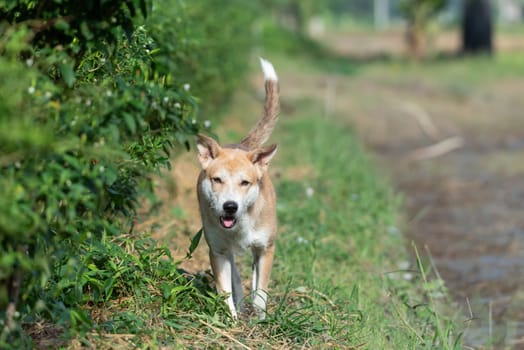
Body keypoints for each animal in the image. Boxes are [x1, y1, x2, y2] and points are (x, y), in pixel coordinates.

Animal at [195, 58, 278, 320]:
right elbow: (225, 291)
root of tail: (243, 146)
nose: (229, 207)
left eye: (245, 182)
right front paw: (230, 321)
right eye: (217, 179)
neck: (241, 223)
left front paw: (259, 321)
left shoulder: (266, 249)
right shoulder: (217, 251)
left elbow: (261, 292)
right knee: (236, 277)